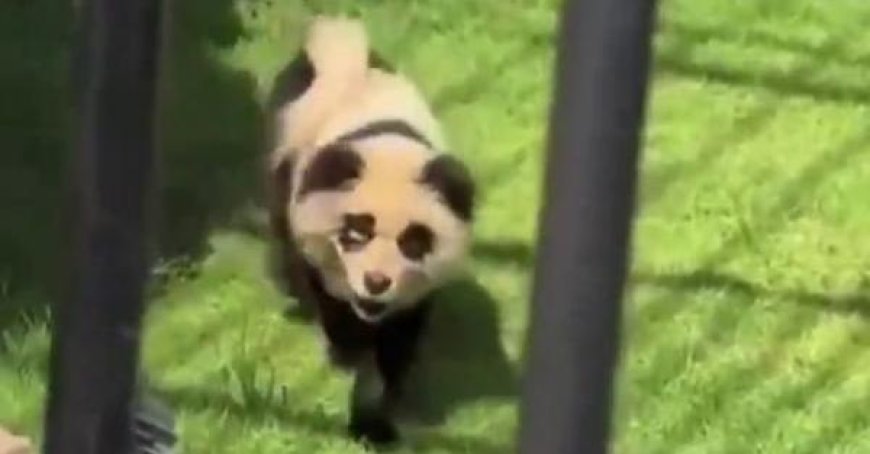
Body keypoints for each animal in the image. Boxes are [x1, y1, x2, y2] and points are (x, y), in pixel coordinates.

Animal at [264, 16, 476, 445]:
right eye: (357, 231)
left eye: (414, 242)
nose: (376, 282)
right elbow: (327, 296)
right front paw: (348, 355)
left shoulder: (414, 290)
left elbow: (400, 338)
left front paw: (380, 405)